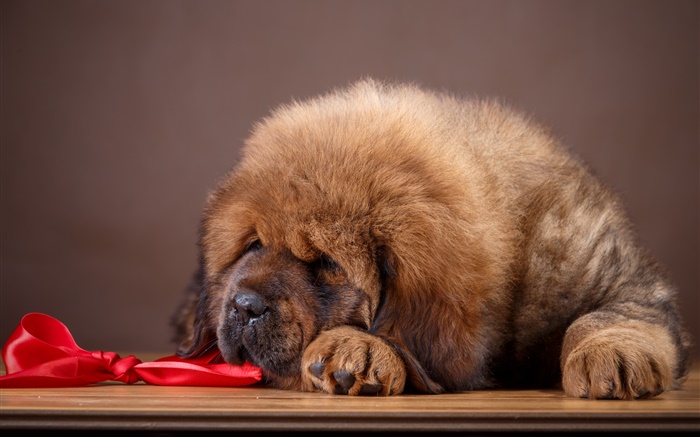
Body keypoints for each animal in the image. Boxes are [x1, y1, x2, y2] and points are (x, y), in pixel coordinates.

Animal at [172, 78, 692, 398]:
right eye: (253, 245)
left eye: (326, 263)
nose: (243, 306)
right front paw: (360, 350)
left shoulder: (619, 280)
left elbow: (604, 317)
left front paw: (613, 354)